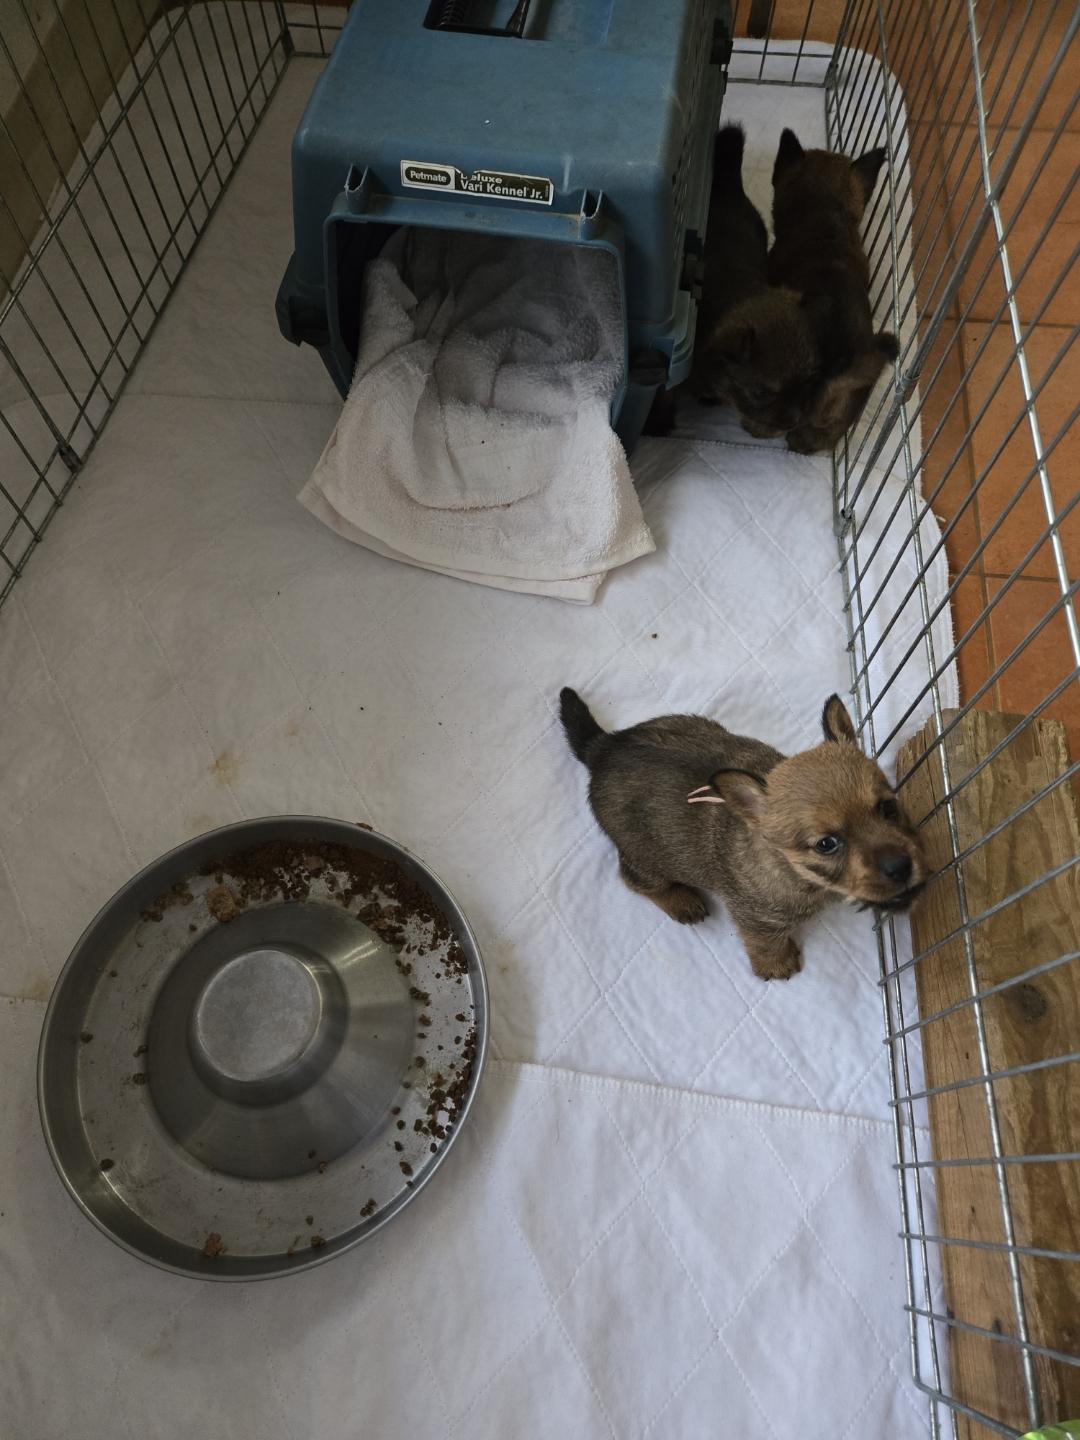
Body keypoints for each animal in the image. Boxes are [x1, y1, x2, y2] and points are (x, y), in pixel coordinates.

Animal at [559, 687, 927, 981]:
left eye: (887, 808)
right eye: (827, 844)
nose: (900, 867)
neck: (792, 871)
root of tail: (603, 747)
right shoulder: (757, 918)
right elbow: (764, 941)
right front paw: (776, 965)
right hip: (647, 856)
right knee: (633, 878)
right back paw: (681, 901)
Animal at [648, 124, 819, 439]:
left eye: (809, 382)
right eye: (761, 393)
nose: (794, 422)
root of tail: (727, 184)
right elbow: (665, 392)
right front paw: (658, 422)